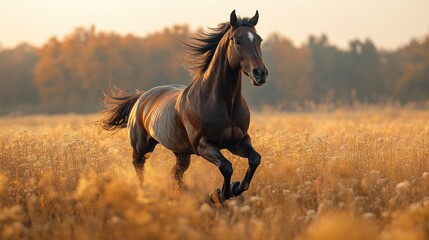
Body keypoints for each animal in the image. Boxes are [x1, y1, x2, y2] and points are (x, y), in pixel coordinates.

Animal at [100, 10, 268, 203]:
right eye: (238, 41)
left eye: (259, 40)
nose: (260, 73)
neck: (224, 104)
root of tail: (141, 98)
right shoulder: (203, 145)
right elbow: (226, 166)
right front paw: (221, 193)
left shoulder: (238, 141)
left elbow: (255, 159)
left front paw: (235, 187)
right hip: (142, 146)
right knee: (139, 165)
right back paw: (144, 193)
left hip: (181, 153)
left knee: (175, 174)